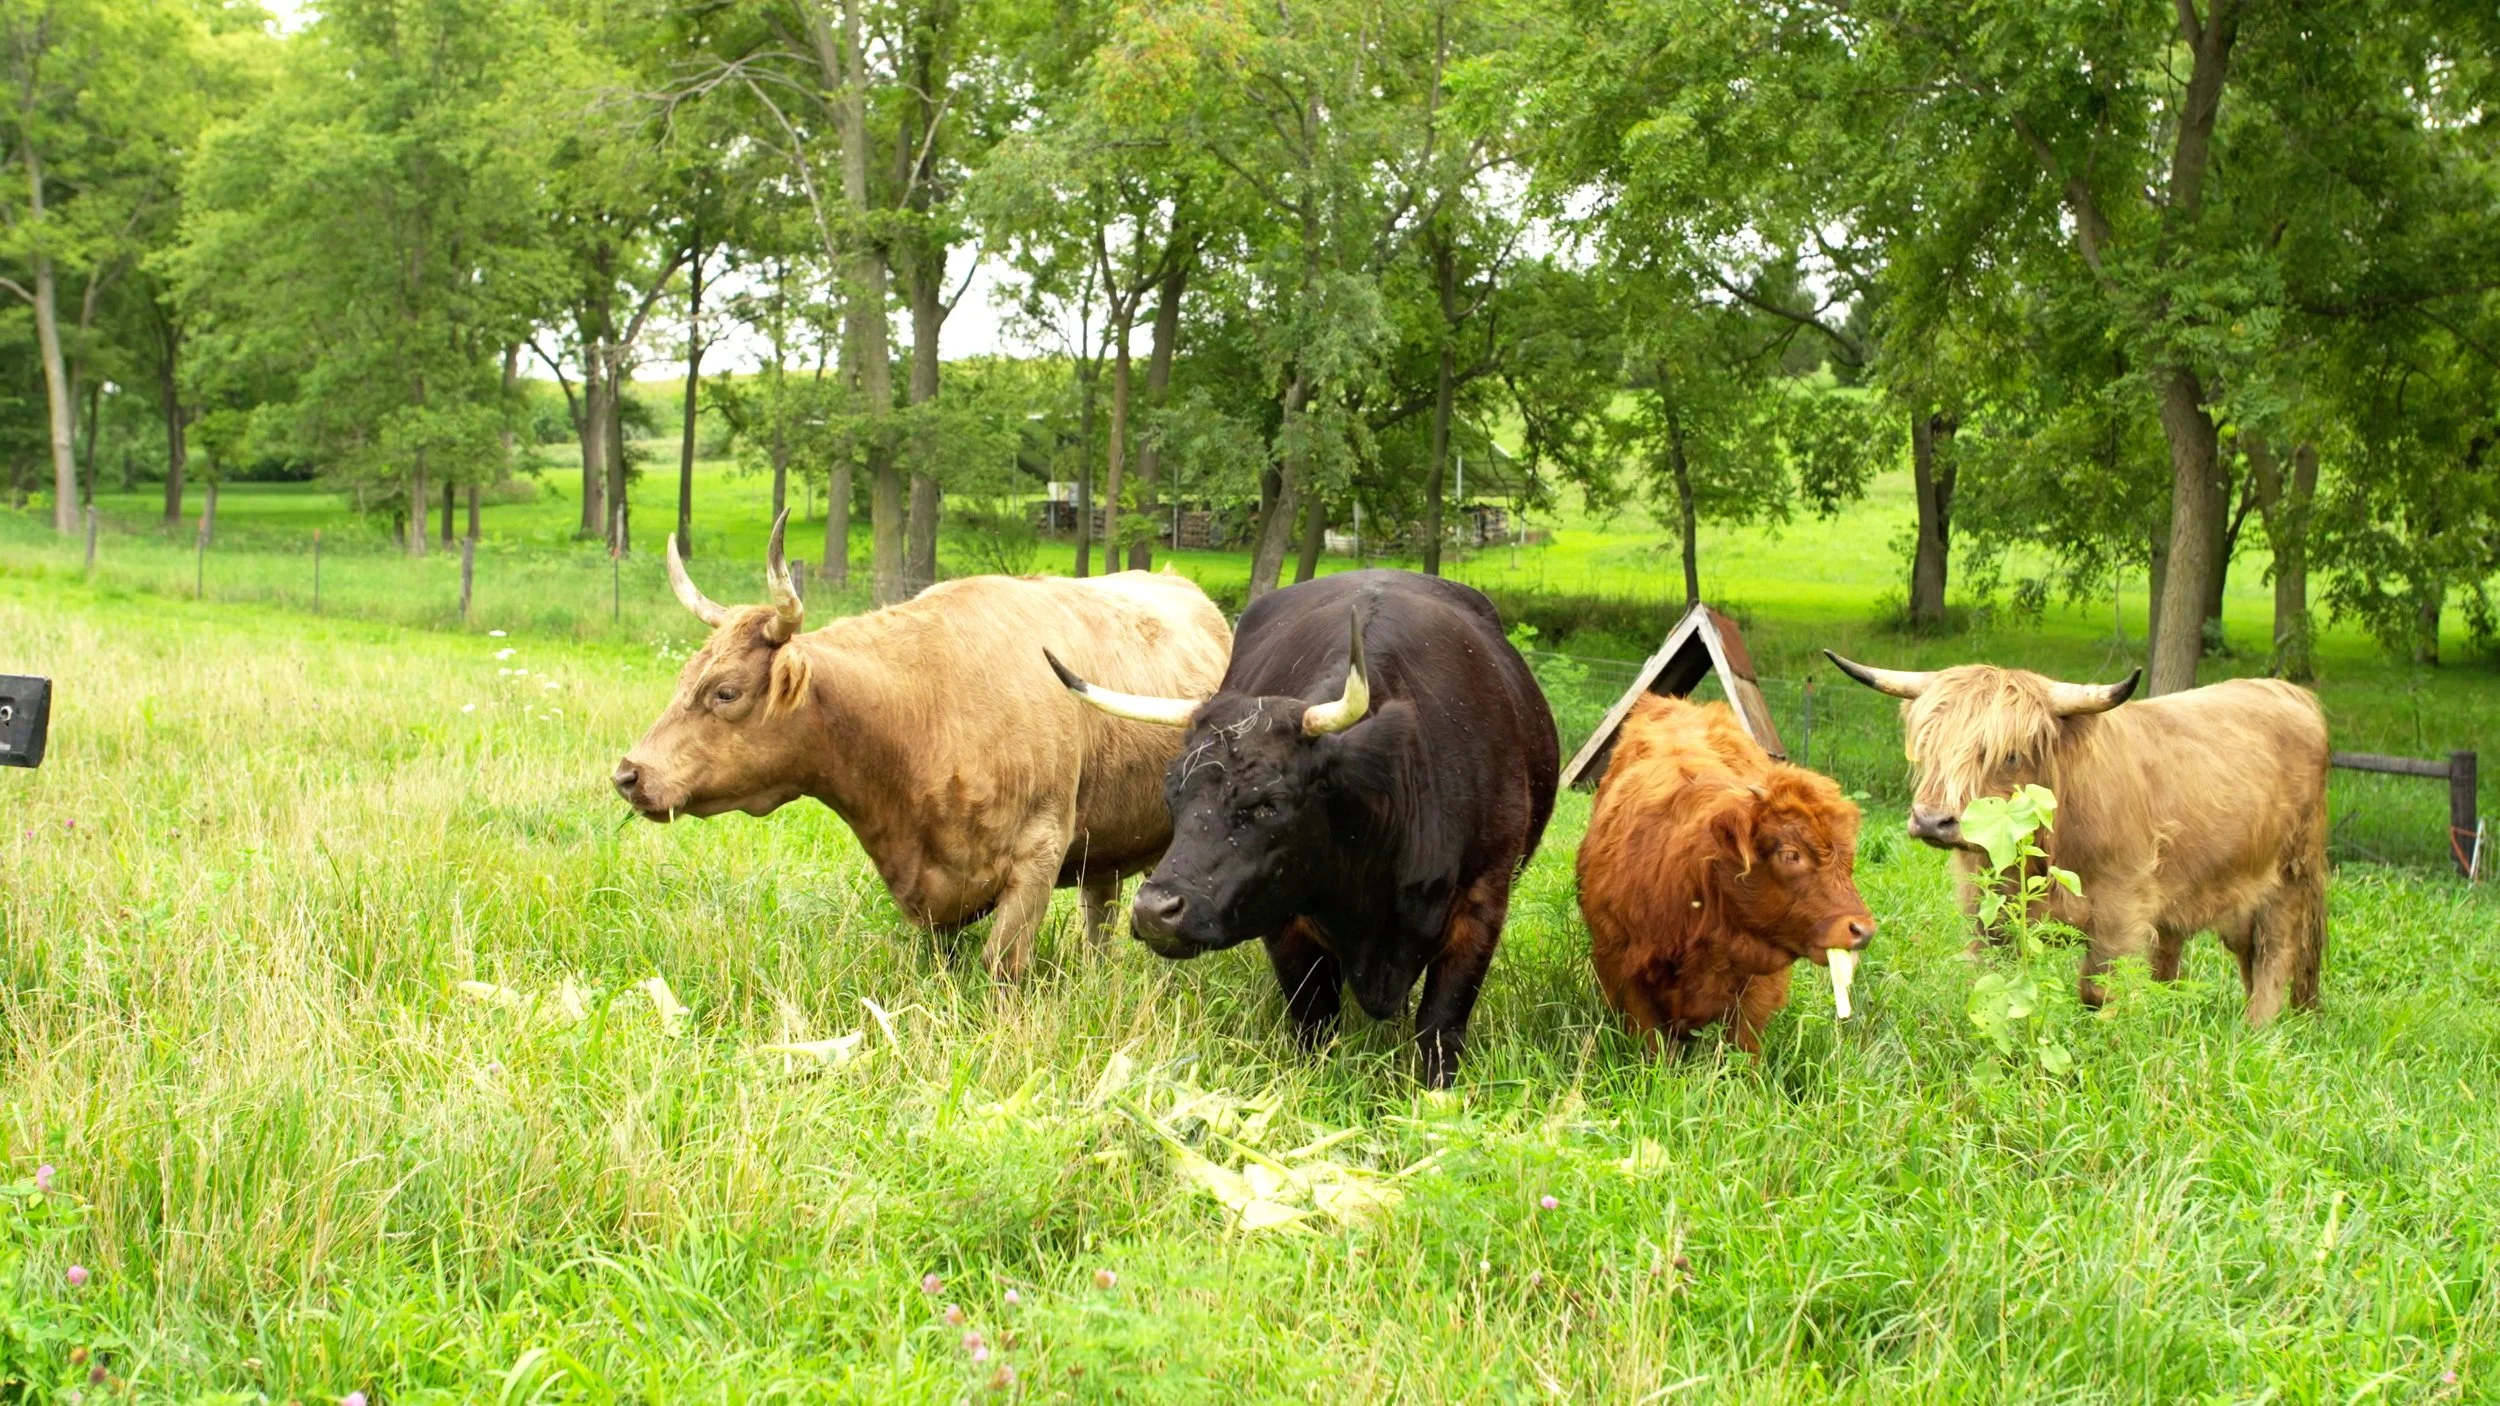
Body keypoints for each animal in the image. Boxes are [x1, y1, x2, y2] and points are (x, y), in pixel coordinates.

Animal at [612, 511, 1231, 979]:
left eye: (725, 691)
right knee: (1099, 914)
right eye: (684, 676)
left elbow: (1002, 966)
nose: (628, 774)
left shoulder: (1038, 853)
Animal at [1048, 569, 1558, 1087]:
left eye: (1270, 803)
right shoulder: (1284, 917)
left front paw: (1437, 1095)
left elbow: (1441, 1024)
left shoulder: (1482, 903)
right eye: (1173, 795)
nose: (1154, 911)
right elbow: (1313, 1015)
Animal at [1577, 695, 1875, 1052]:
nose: (1863, 930)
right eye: (1791, 854)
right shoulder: (1621, 970)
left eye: (1849, 859)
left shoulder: (1760, 989)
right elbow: (1652, 1046)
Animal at [1825, 653, 2329, 1024]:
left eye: (2010, 754)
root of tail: (2291, 693)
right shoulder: (1988, 914)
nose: (1932, 821)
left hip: (2289, 879)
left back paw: (2255, 1031)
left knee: (2274, 956)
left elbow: (2098, 990)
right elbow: (1993, 984)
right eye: (1927, 747)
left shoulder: (2120, 914)